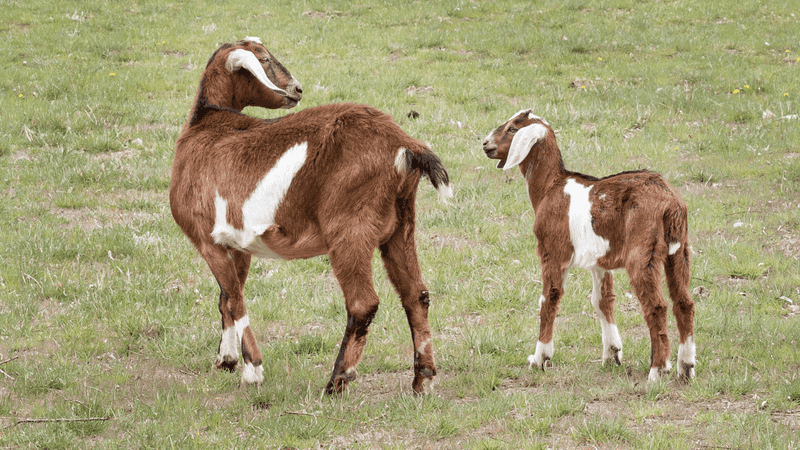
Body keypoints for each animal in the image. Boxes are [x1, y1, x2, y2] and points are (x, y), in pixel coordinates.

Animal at [169, 37, 451, 394]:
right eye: (263, 59)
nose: (297, 89)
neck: (205, 125)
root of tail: (405, 145)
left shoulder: (207, 241)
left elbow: (234, 299)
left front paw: (252, 369)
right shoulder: (237, 244)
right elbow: (227, 298)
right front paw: (227, 360)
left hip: (349, 227)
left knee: (363, 303)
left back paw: (337, 381)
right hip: (400, 224)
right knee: (416, 295)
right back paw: (422, 380)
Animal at [481, 110, 696, 381]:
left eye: (511, 129)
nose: (485, 145)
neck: (551, 186)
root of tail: (670, 201)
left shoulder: (552, 252)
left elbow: (549, 299)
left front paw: (539, 359)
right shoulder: (599, 261)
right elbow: (602, 300)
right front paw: (612, 354)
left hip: (643, 253)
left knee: (656, 306)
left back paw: (658, 369)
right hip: (679, 250)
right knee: (684, 302)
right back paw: (685, 367)